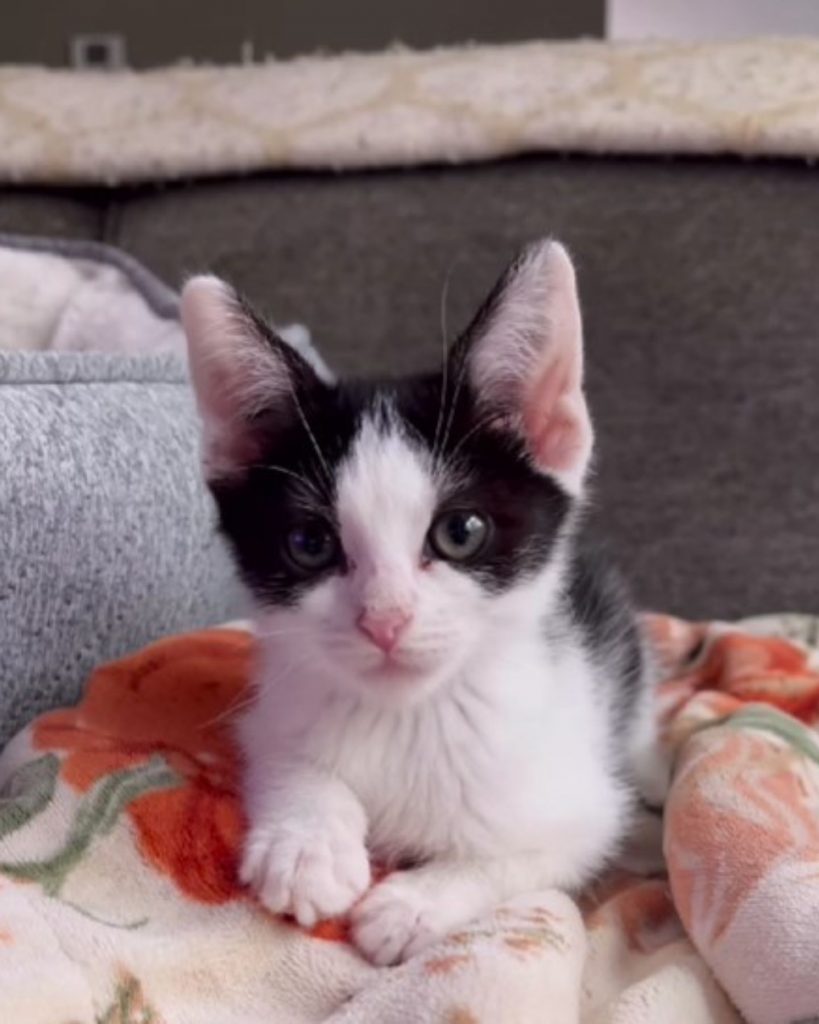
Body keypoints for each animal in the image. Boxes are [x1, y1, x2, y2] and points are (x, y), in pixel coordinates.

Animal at [182, 241, 663, 966]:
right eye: (309, 543)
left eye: (460, 532)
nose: (385, 619)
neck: (409, 716)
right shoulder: (273, 710)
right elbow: (285, 752)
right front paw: (307, 844)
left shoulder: (586, 811)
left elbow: (522, 854)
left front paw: (415, 904)